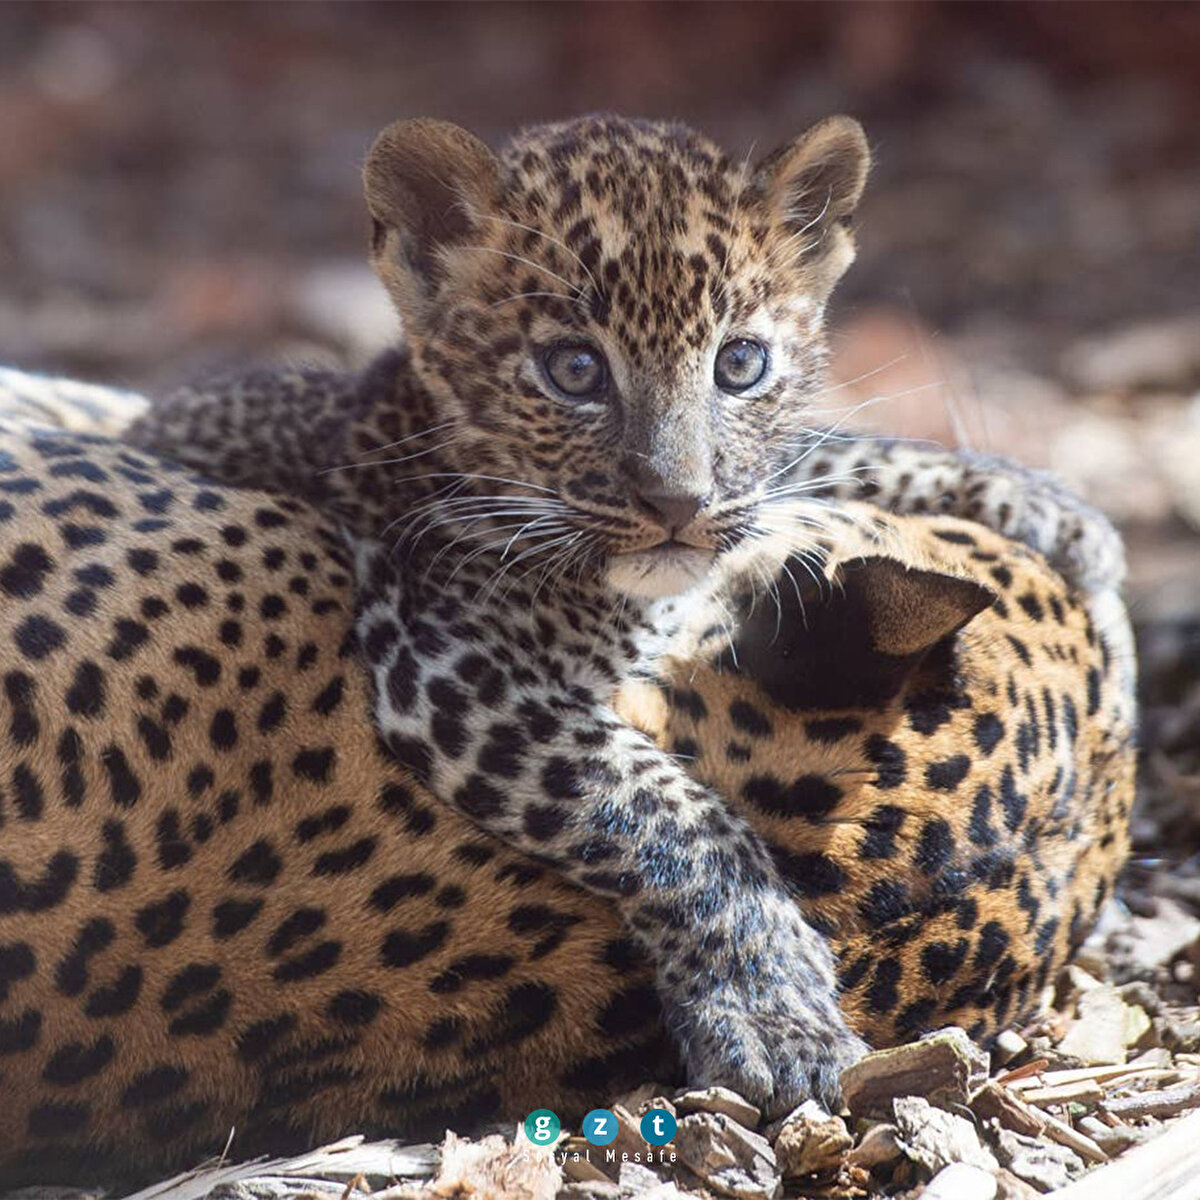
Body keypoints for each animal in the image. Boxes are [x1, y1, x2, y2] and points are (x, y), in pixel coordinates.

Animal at [0, 112, 1133, 1180]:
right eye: (574, 370)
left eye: (740, 364)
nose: (679, 504)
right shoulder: (455, 675)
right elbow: (672, 810)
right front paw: (774, 1014)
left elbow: (810, 466)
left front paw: (1053, 512)